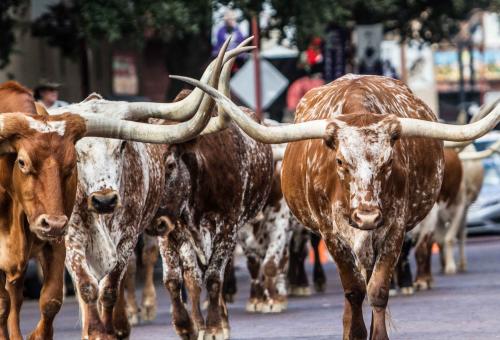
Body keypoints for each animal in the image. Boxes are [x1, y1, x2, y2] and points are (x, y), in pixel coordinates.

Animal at [180, 74, 500, 340]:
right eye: (340, 162)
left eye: (388, 162)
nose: (367, 214)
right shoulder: (330, 234)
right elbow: (353, 289)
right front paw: (354, 332)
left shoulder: (395, 228)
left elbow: (377, 288)